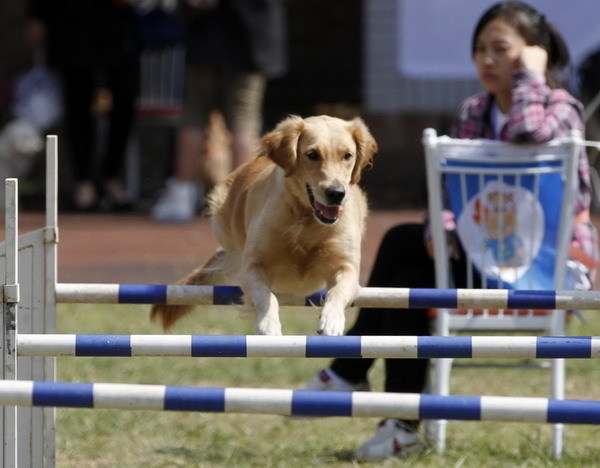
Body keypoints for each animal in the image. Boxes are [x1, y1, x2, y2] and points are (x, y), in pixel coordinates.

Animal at [150, 114, 376, 334]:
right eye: (312, 154)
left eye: (347, 155)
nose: (336, 193)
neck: (305, 218)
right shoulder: (253, 266)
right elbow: (267, 297)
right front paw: (268, 324)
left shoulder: (346, 267)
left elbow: (336, 292)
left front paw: (331, 320)